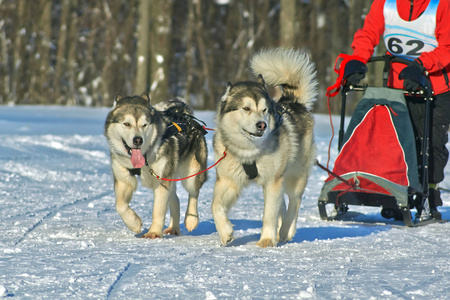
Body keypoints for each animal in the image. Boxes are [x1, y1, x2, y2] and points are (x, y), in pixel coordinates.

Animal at [104, 95, 207, 238]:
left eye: (144, 125)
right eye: (127, 124)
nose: (138, 140)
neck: (145, 157)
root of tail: (182, 112)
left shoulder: (161, 180)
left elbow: (158, 210)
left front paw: (153, 233)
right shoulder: (124, 178)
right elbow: (120, 205)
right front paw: (134, 223)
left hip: (192, 172)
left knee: (193, 192)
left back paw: (191, 219)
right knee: (175, 199)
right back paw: (173, 228)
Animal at [213, 48, 318, 247]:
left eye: (264, 110)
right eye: (246, 108)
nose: (262, 125)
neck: (249, 152)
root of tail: (293, 102)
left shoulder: (272, 182)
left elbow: (269, 214)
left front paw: (267, 239)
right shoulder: (229, 180)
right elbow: (215, 206)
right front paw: (225, 232)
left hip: (295, 177)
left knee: (294, 203)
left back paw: (285, 230)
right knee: (282, 203)